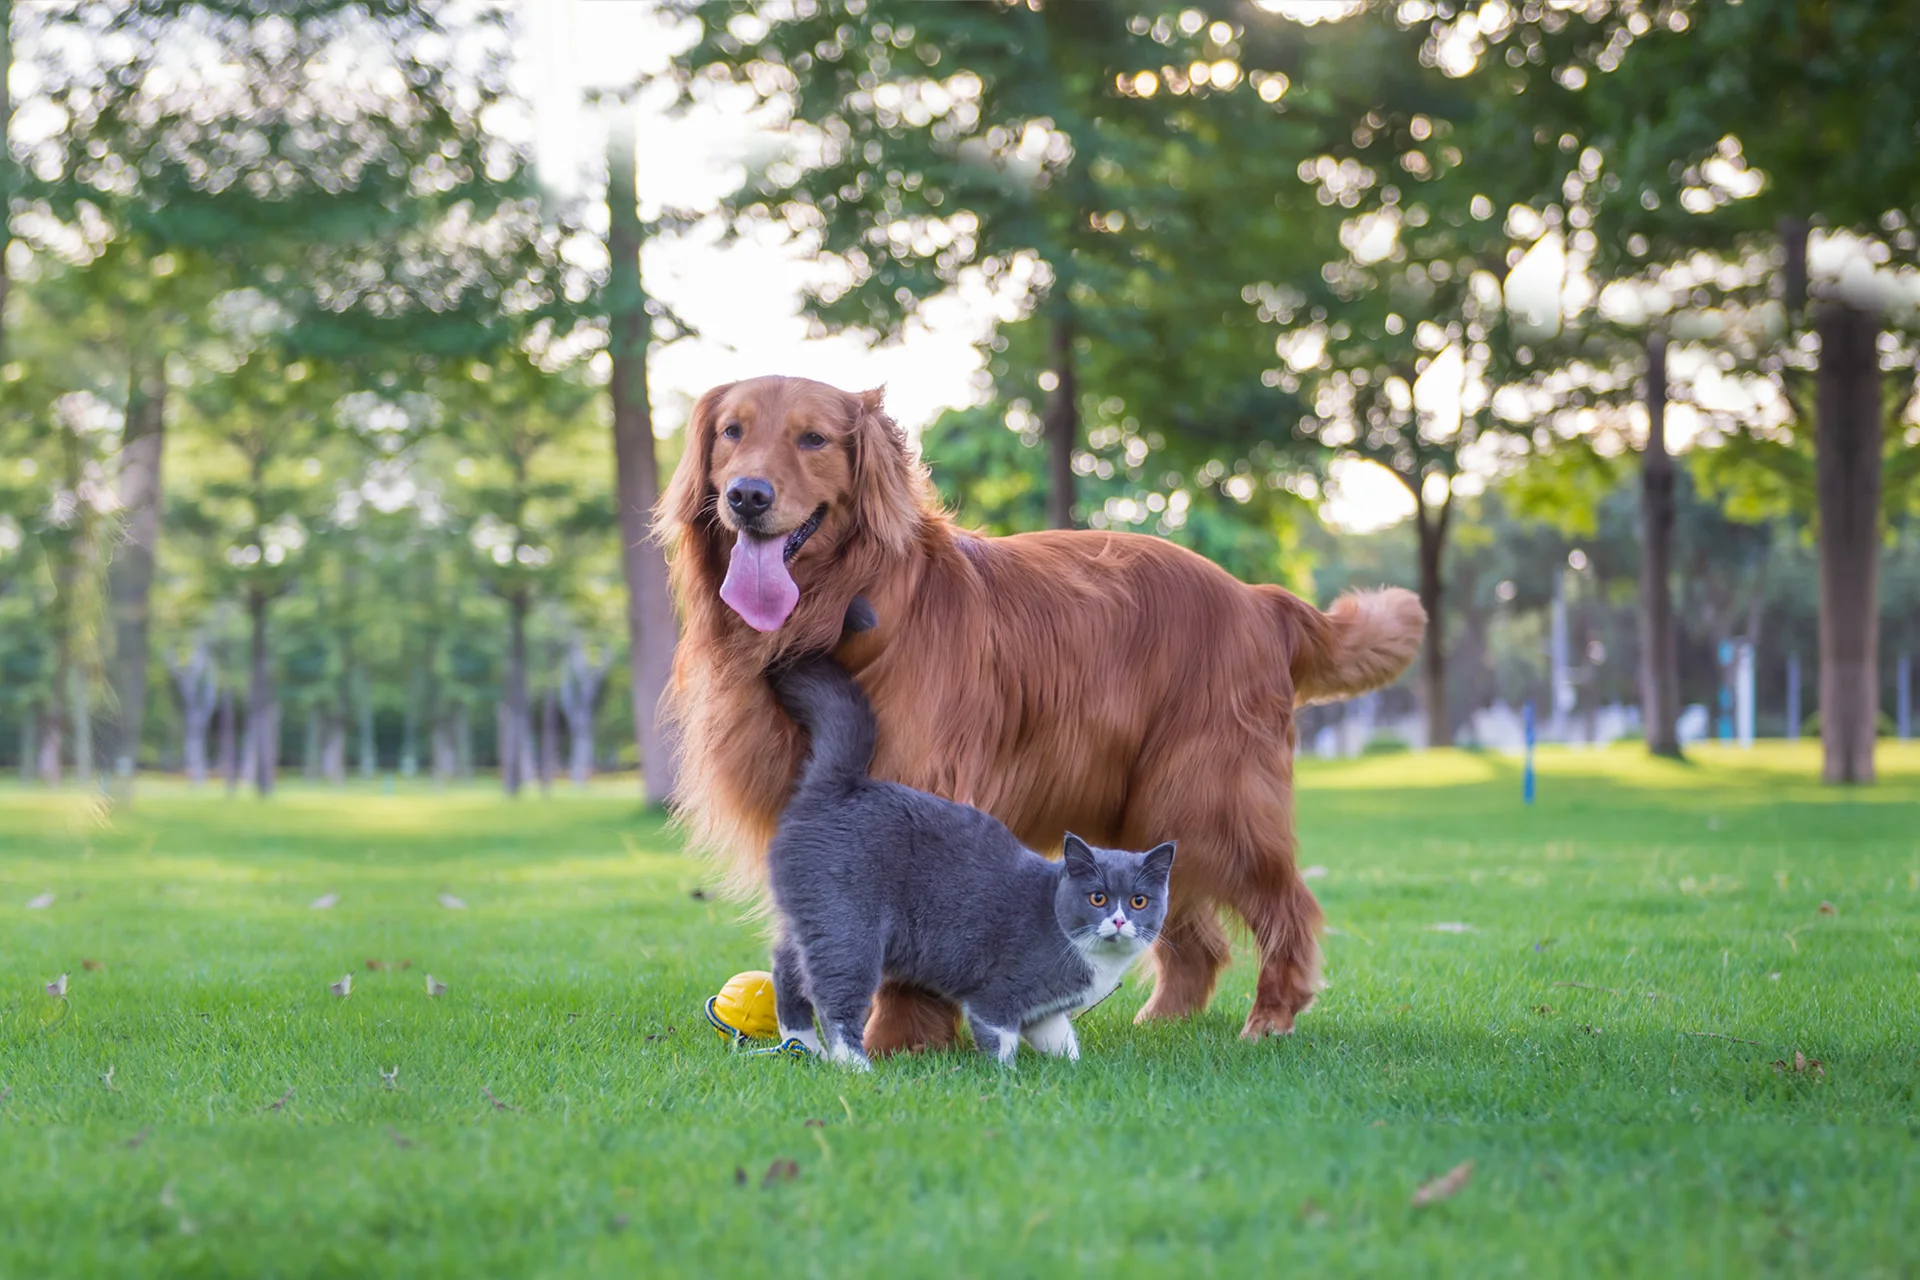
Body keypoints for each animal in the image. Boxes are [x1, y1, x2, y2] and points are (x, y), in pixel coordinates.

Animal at [764, 656, 1167, 1066]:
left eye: (1139, 901)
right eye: (1098, 897)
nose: (1119, 920)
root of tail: (840, 785)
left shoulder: (1045, 1012)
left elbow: (1061, 1038)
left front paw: (1074, 1069)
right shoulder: (996, 994)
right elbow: (999, 1038)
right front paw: (1006, 1074)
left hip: (809, 915)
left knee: (787, 970)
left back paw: (803, 1046)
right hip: (847, 925)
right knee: (834, 997)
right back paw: (855, 1065)